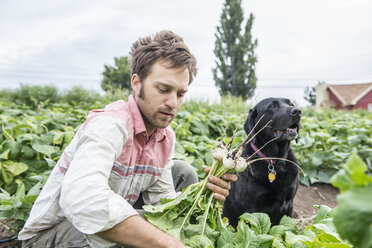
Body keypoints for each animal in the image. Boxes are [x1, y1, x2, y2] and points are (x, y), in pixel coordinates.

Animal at [222, 98, 300, 228]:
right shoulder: (251, 211)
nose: (297, 111)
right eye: (272, 105)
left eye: (290, 104)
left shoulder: (289, 205)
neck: (275, 161)